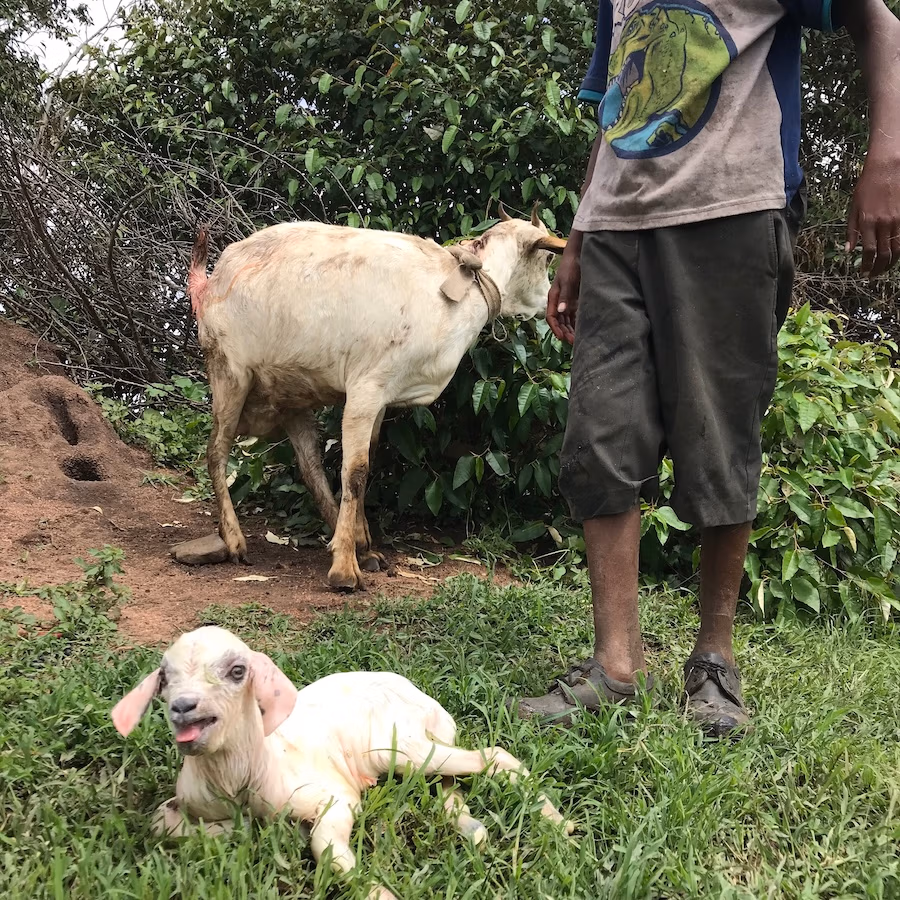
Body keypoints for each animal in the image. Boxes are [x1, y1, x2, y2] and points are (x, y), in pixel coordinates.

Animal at [112, 626, 572, 899]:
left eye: (237, 670)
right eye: (165, 677)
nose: (183, 708)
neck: (241, 778)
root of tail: (428, 700)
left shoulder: (334, 797)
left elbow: (325, 845)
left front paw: (376, 891)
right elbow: (161, 822)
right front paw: (242, 832)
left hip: (396, 746)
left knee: (489, 756)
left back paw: (558, 823)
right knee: (448, 783)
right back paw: (473, 829)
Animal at [187, 206, 566, 590]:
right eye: (548, 257)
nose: (548, 303)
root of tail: (210, 280)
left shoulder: (382, 397)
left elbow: (366, 465)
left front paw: (363, 547)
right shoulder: (365, 388)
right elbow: (355, 470)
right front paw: (344, 569)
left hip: (293, 393)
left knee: (310, 466)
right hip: (229, 372)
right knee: (216, 451)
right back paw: (234, 539)